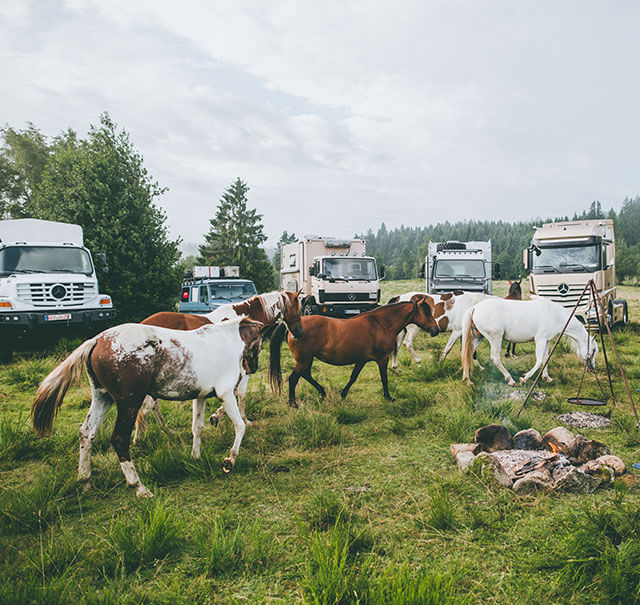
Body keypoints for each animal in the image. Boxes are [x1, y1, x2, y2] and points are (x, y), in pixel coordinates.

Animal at [31, 316, 266, 496]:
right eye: (260, 341)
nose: (254, 367)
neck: (225, 341)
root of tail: (97, 340)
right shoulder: (226, 394)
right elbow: (240, 426)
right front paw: (229, 460)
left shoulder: (200, 397)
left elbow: (197, 427)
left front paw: (196, 457)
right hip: (129, 402)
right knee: (119, 439)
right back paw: (139, 487)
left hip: (102, 398)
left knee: (87, 433)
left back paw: (85, 480)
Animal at [268, 298, 440, 406]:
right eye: (426, 312)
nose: (436, 330)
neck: (381, 323)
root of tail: (292, 326)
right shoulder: (382, 359)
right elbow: (384, 379)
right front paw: (388, 397)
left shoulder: (362, 359)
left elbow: (353, 377)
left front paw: (343, 395)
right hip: (304, 359)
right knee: (293, 378)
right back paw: (293, 403)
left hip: (307, 359)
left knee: (305, 374)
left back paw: (322, 392)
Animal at [462, 298, 596, 386]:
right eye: (594, 350)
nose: (592, 368)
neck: (556, 315)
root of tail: (475, 308)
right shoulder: (540, 339)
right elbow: (539, 360)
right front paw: (524, 379)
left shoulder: (546, 340)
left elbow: (546, 359)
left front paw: (547, 377)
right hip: (496, 338)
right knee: (495, 358)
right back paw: (510, 380)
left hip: (478, 338)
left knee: (467, 354)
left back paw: (467, 379)